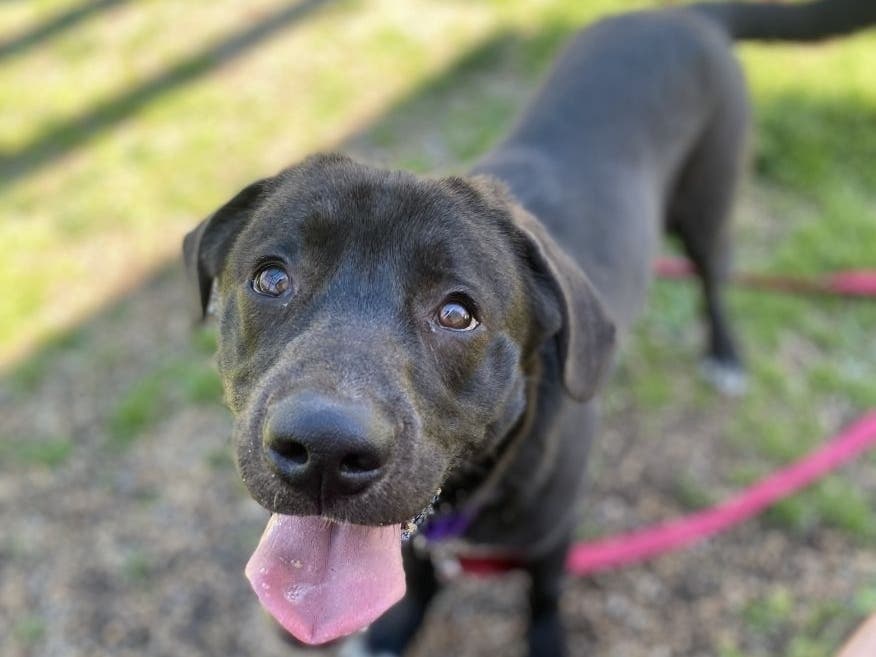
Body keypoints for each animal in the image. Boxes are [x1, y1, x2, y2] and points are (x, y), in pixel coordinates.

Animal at [185, 1, 876, 656]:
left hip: (708, 206)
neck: (471, 496)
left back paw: (725, 355)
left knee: (715, 282)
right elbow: (418, 579)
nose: (324, 449)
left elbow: (543, 597)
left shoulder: (554, 534)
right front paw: (393, 632)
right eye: (271, 279)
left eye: (458, 313)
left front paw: (545, 643)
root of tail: (683, 15)